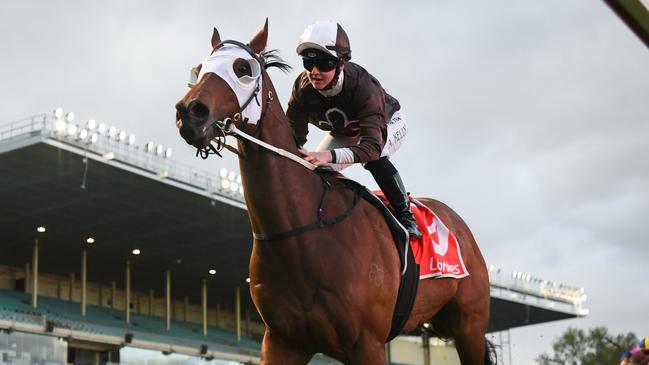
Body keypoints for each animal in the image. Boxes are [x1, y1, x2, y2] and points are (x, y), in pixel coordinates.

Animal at [176, 22, 492, 364]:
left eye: (242, 69)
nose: (190, 112)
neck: (302, 234)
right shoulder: (282, 341)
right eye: (199, 70)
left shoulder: (368, 344)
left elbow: (372, 147)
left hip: (469, 326)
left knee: (378, 156)